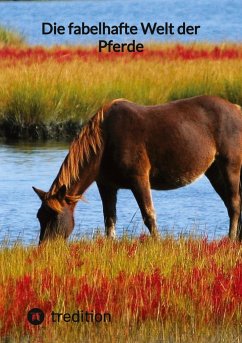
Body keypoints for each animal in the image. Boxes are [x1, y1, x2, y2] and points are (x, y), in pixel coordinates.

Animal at [32, 95, 242, 243]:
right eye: (39, 217)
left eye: (55, 217)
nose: (45, 248)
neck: (105, 141)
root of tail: (236, 108)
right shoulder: (106, 185)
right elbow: (109, 219)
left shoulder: (139, 179)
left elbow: (149, 215)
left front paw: (157, 243)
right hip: (213, 171)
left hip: (230, 165)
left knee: (234, 203)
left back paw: (231, 238)